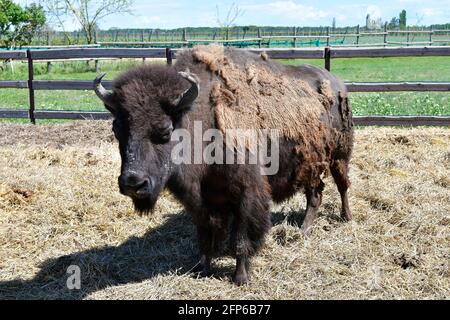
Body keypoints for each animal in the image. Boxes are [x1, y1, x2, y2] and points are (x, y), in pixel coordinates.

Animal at [93, 45, 356, 284]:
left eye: (166, 130)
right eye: (116, 129)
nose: (133, 183)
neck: (201, 119)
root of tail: (336, 83)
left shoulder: (247, 194)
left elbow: (241, 239)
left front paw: (240, 277)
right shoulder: (203, 201)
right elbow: (205, 235)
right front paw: (201, 268)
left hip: (340, 156)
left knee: (342, 185)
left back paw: (344, 218)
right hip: (311, 165)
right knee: (315, 194)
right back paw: (303, 231)